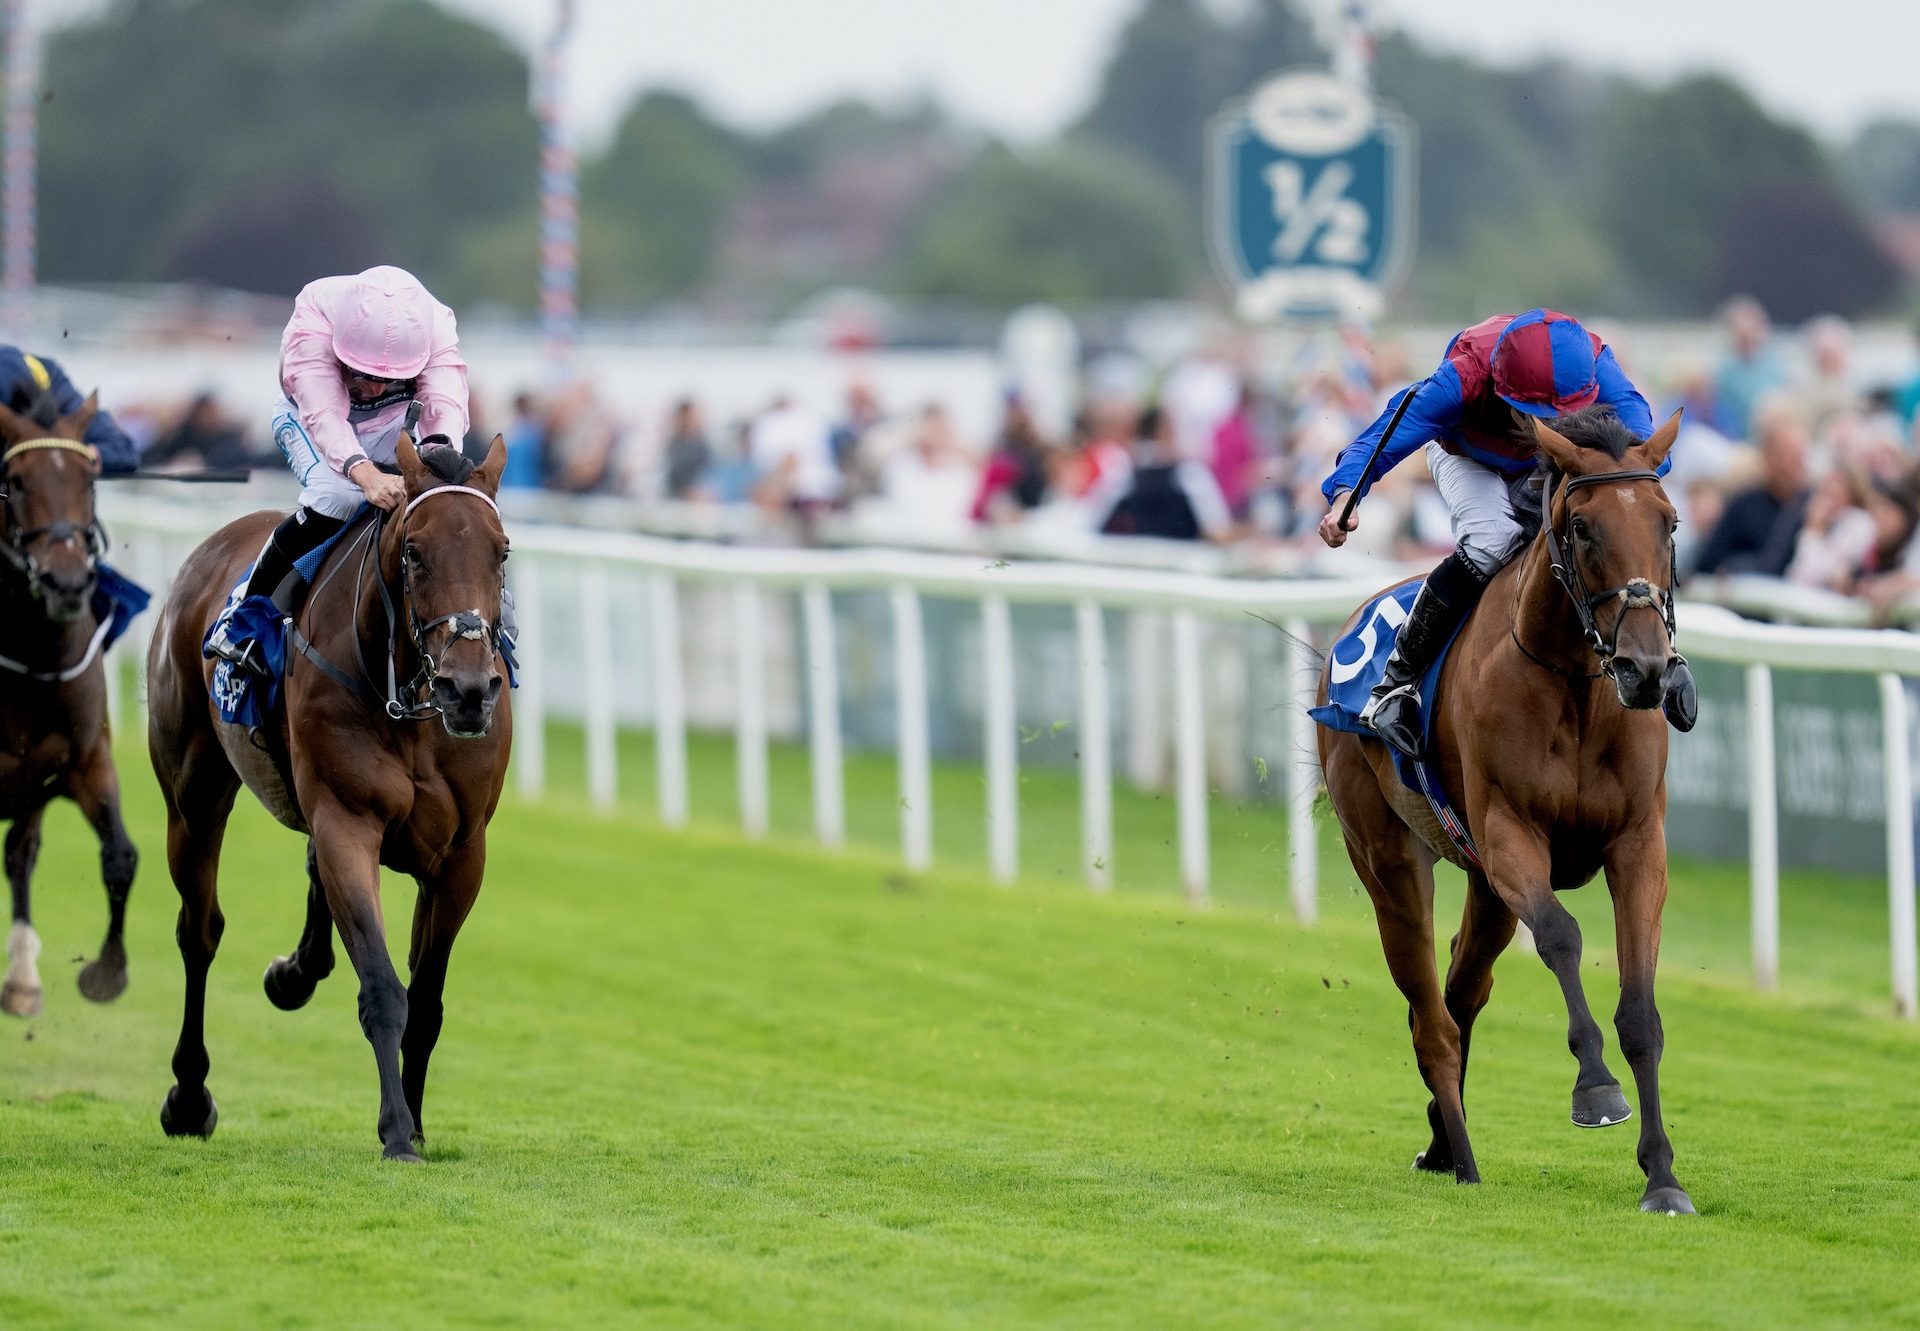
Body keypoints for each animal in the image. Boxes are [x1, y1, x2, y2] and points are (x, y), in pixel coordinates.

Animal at [147, 434, 510, 1152]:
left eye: (501, 551)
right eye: (414, 551)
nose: (468, 689)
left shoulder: (461, 854)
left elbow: (427, 1001)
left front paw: (416, 1121)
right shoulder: (348, 819)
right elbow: (384, 987)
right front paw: (397, 1131)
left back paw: (296, 972)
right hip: (192, 795)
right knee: (199, 931)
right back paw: (190, 1096)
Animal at [1313, 407, 1689, 1213]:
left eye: (1669, 522)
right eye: (1581, 526)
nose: (1645, 669)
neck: (1576, 683)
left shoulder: (1638, 843)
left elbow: (1641, 1010)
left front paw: (1663, 1176)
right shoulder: (1511, 833)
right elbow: (1561, 936)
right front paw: (1596, 1089)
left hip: (1484, 888)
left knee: (1464, 990)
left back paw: (1439, 1138)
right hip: (1389, 861)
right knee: (1432, 1015)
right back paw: (1461, 1155)